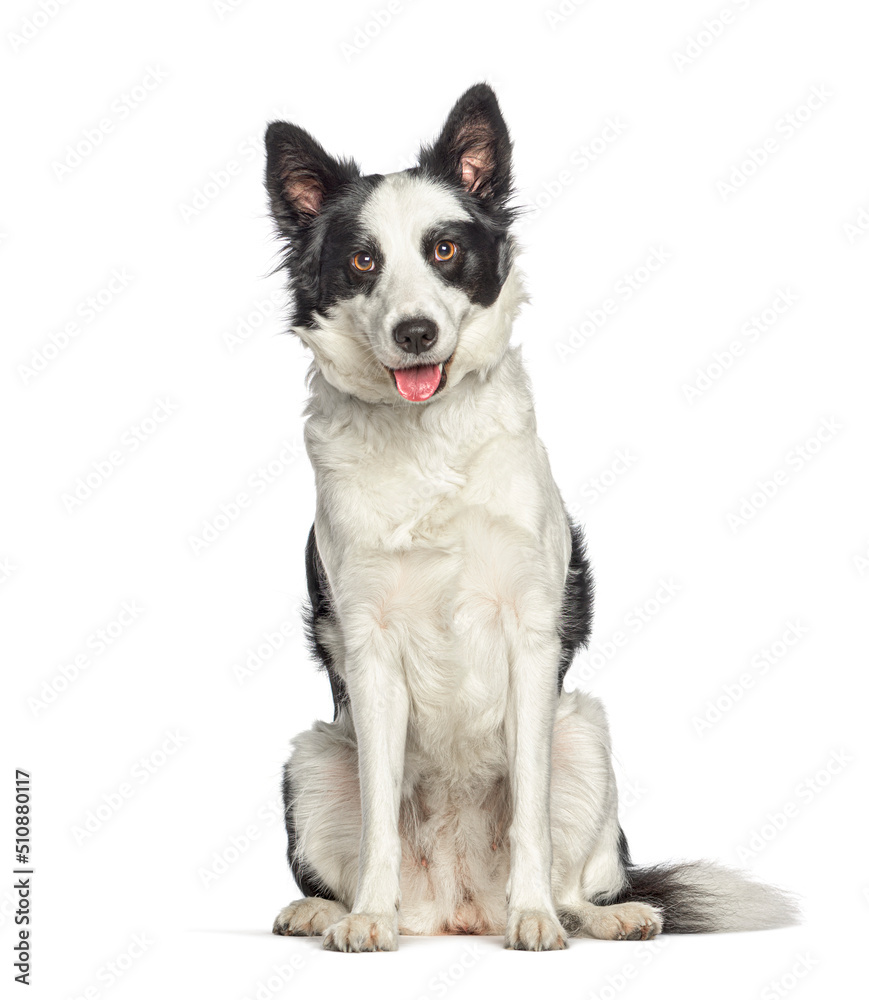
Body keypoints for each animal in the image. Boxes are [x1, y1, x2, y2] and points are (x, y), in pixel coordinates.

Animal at [262, 82, 796, 948]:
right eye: (362, 260)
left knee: (584, 876)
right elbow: (378, 816)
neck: (428, 439)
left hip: (583, 728)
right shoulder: (369, 644)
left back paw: (598, 915)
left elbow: (530, 817)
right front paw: (367, 917)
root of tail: (455, 910)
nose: (416, 332)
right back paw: (328, 910)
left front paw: (535, 915)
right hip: (312, 756)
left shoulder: (529, 633)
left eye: (445, 250)